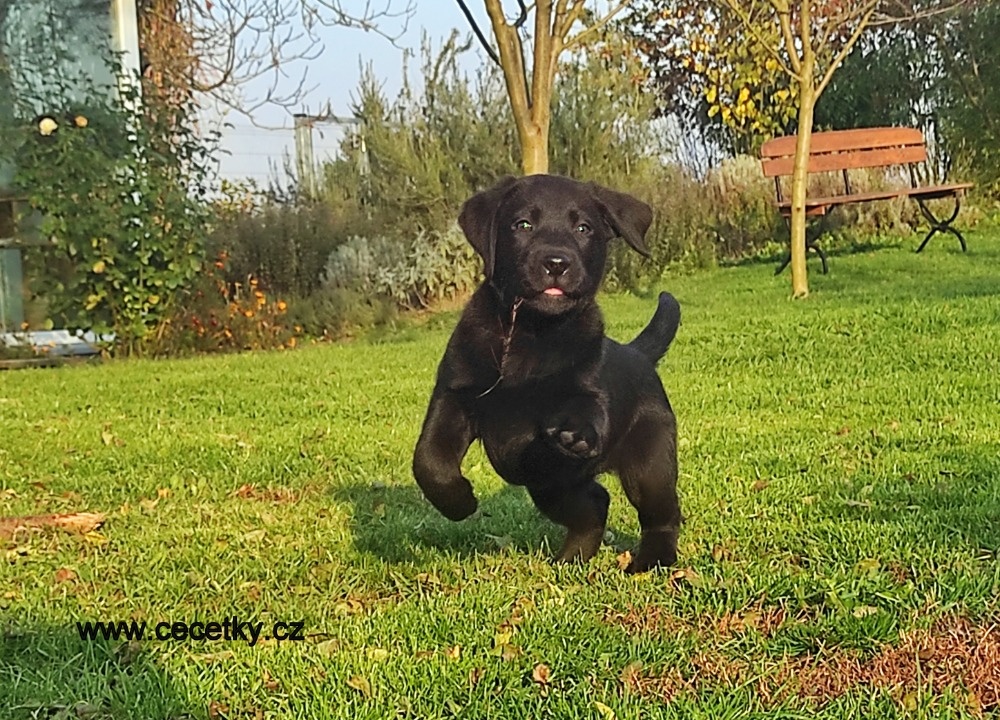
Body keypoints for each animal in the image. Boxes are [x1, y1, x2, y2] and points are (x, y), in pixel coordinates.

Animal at [412, 174, 680, 572]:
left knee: (662, 514)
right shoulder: (454, 394)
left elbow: (585, 406)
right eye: (523, 225)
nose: (556, 262)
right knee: (595, 503)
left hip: (649, 463)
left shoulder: (587, 385)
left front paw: (575, 432)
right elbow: (429, 460)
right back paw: (571, 559)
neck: (531, 331)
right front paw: (460, 502)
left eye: (584, 228)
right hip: (549, 486)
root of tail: (637, 353)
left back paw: (651, 561)